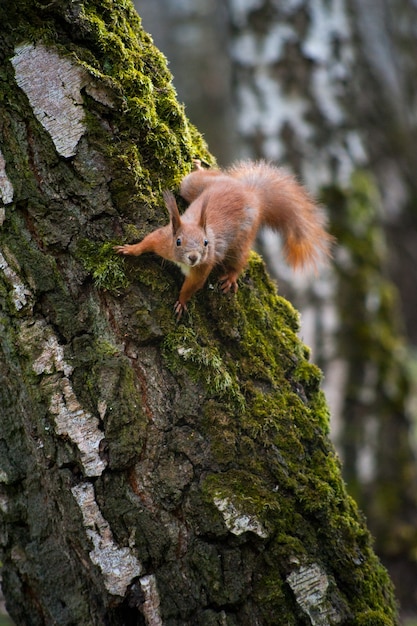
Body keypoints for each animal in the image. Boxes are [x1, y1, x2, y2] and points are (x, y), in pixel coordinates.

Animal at [114, 160, 332, 316]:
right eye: (178, 241)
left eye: (206, 243)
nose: (193, 257)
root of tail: (250, 193)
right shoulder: (162, 239)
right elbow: (147, 241)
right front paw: (130, 249)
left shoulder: (202, 268)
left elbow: (192, 286)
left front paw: (182, 302)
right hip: (192, 186)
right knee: (203, 178)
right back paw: (199, 165)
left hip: (240, 241)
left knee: (238, 261)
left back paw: (230, 277)